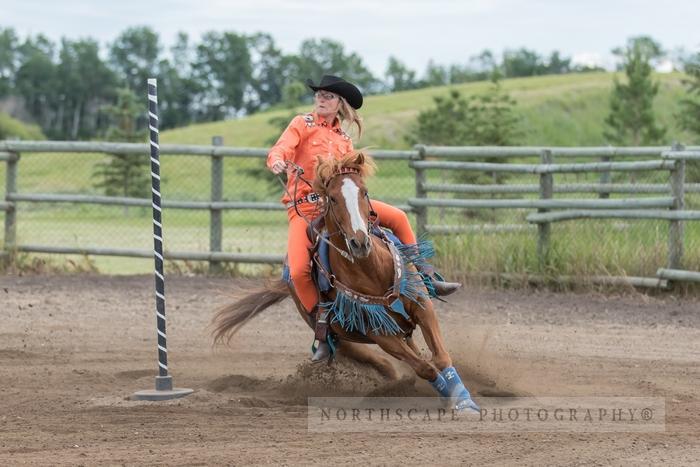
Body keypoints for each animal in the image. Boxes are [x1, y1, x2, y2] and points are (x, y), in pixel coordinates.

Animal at [211, 151, 478, 414]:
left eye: (365, 192)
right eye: (333, 198)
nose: (359, 243)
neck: (371, 271)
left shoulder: (422, 307)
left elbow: (440, 358)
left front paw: (463, 400)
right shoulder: (380, 332)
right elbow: (425, 367)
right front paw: (451, 396)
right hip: (345, 340)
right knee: (385, 364)